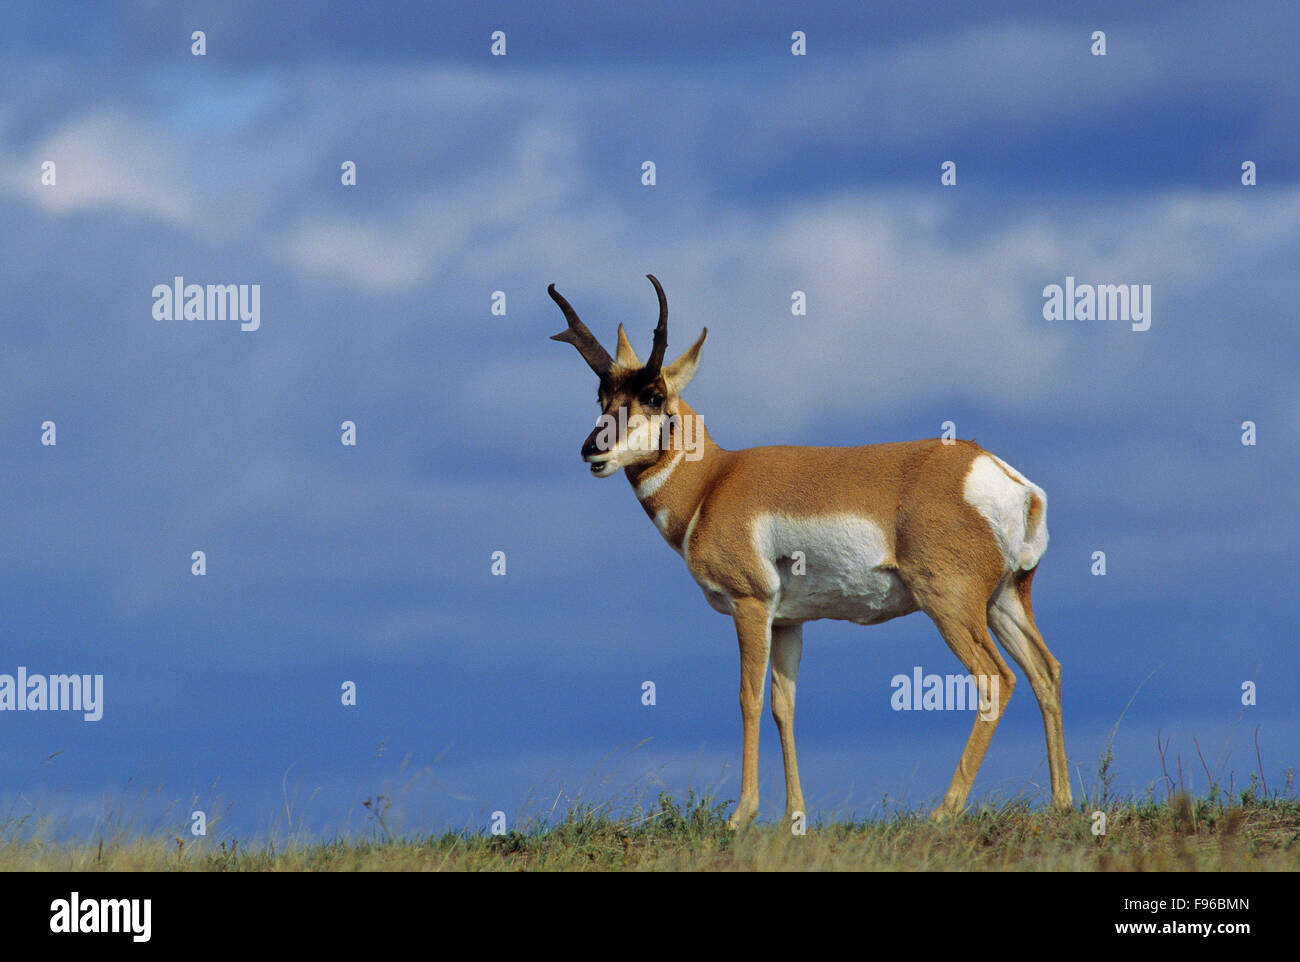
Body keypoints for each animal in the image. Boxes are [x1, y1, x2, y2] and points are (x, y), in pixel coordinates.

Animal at [548, 273, 1066, 826]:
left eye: (653, 394)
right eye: (602, 394)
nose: (592, 450)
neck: (714, 482)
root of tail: (999, 474)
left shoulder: (750, 605)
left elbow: (749, 698)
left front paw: (742, 815)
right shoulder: (788, 621)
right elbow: (784, 704)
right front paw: (794, 818)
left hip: (951, 604)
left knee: (995, 679)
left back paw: (943, 812)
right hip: (1004, 600)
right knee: (1045, 670)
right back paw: (1062, 803)